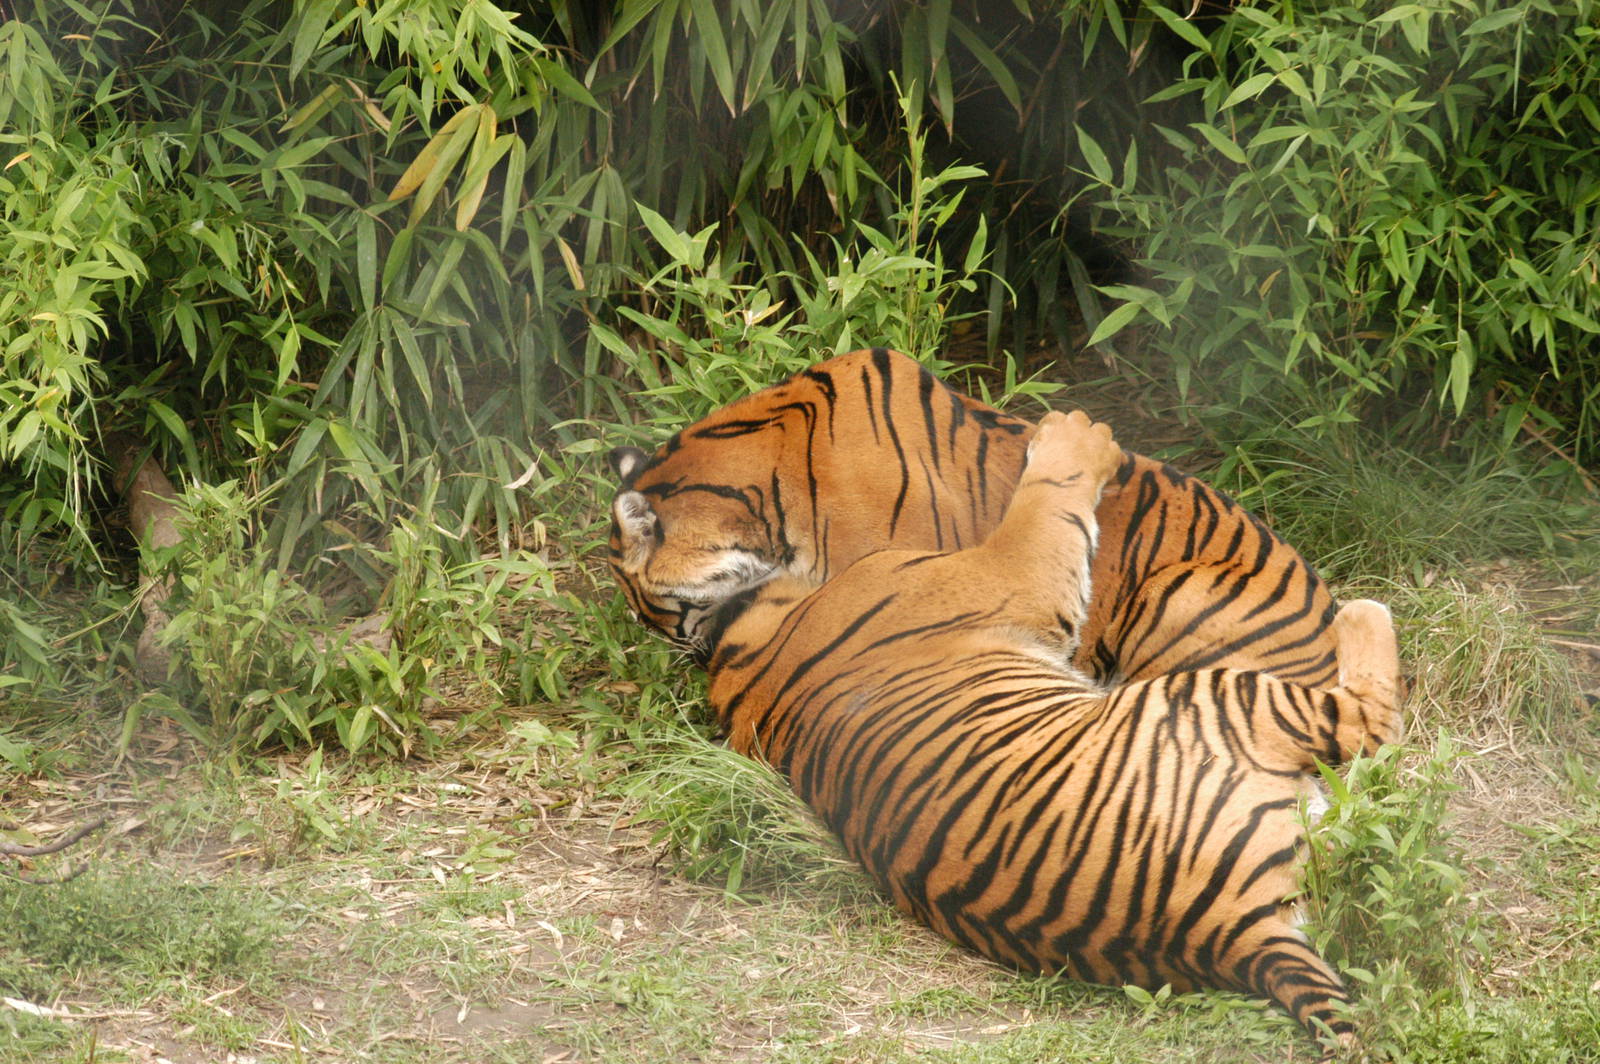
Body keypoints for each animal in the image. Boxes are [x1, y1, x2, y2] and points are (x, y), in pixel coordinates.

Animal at [610, 408, 1402, 1044]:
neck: (737, 640)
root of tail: (1234, 937)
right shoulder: (1013, 575)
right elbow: (1046, 504)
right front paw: (1073, 434)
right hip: (1211, 694)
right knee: (1368, 720)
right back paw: (1362, 609)